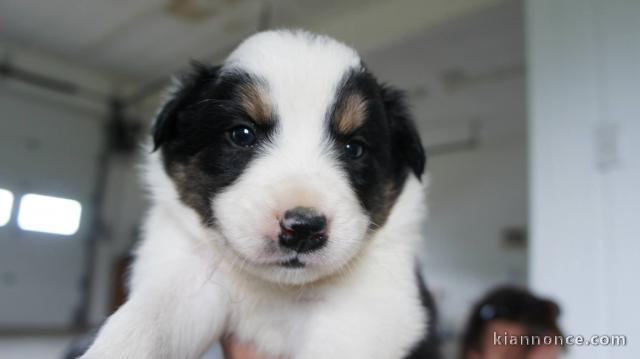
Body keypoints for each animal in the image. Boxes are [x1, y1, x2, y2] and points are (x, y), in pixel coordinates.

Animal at [81, 29, 440, 358]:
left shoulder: (373, 312)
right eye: (242, 134)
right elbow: (146, 322)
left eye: (354, 148)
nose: (303, 229)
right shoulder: (188, 277)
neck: (275, 288)